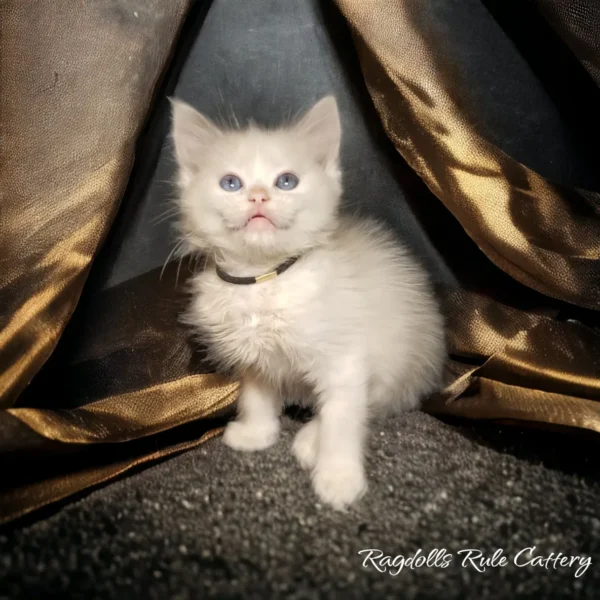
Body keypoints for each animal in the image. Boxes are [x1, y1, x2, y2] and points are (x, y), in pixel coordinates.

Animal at [171, 96, 442, 508]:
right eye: (230, 183)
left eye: (287, 181)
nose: (258, 196)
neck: (265, 277)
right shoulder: (253, 354)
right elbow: (256, 394)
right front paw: (256, 433)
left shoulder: (345, 359)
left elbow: (342, 420)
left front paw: (338, 479)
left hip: (398, 359)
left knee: (373, 403)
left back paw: (312, 440)